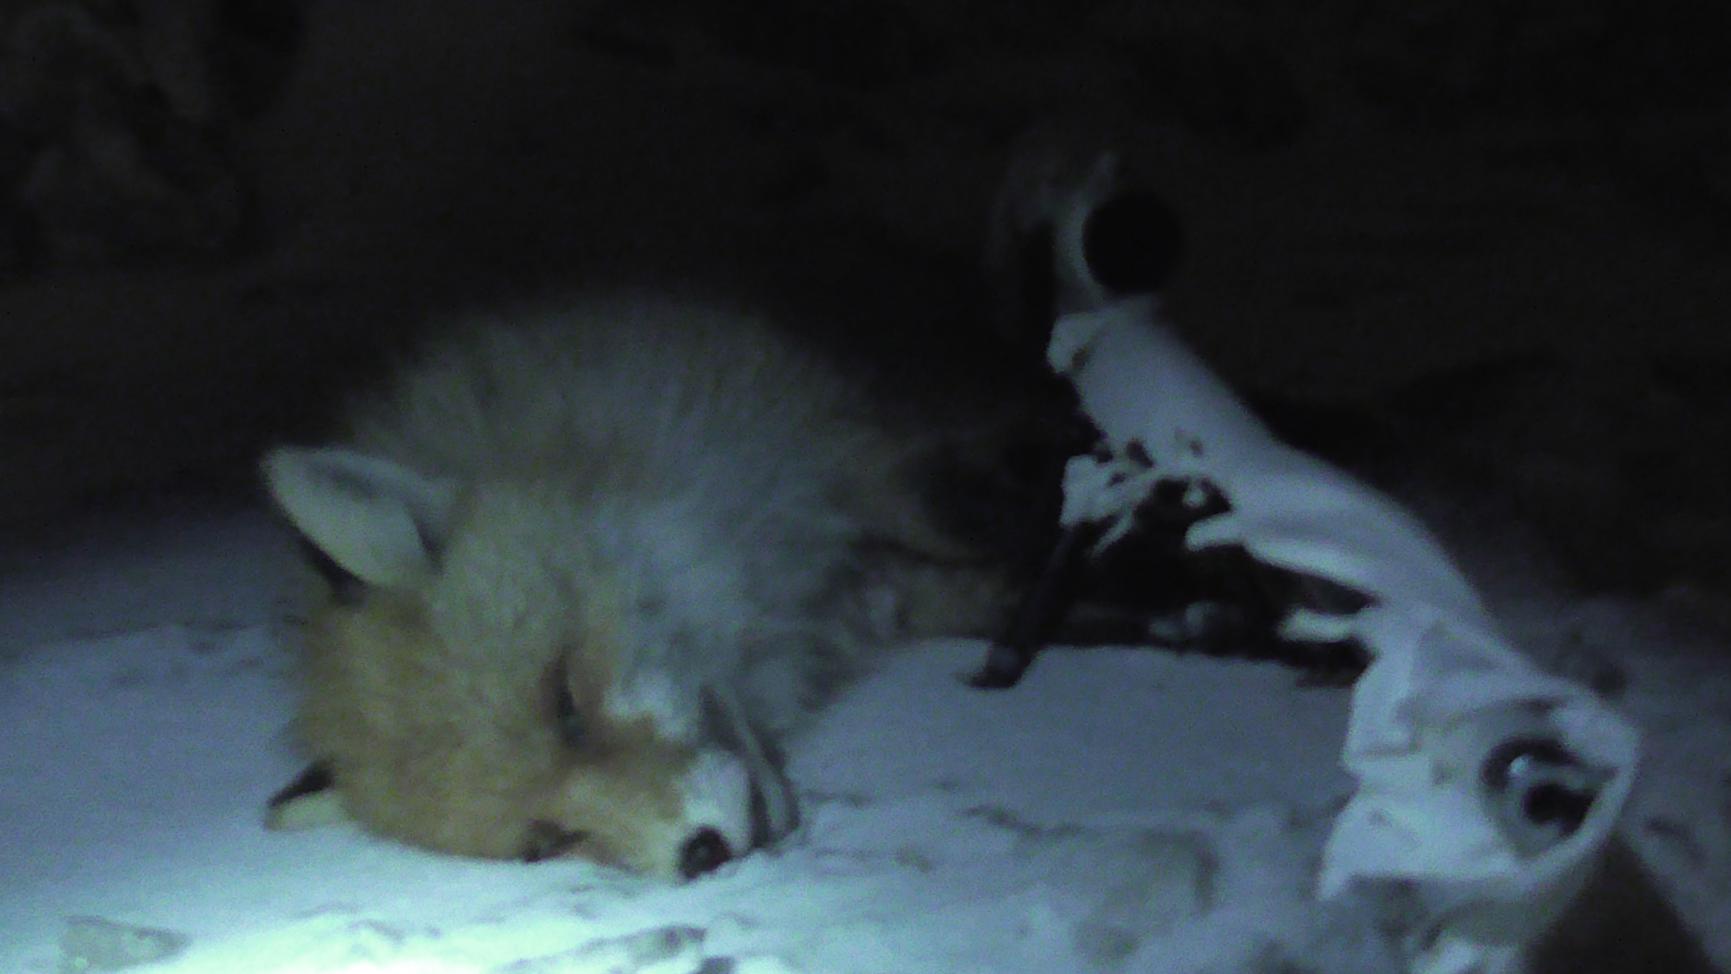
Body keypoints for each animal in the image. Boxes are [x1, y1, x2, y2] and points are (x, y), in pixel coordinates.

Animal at [260, 291, 1016, 880]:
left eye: (566, 702)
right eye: (547, 842)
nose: (704, 854)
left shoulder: (825, 448)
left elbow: (937, 515)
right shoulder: (856, 590)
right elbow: (962, 593)